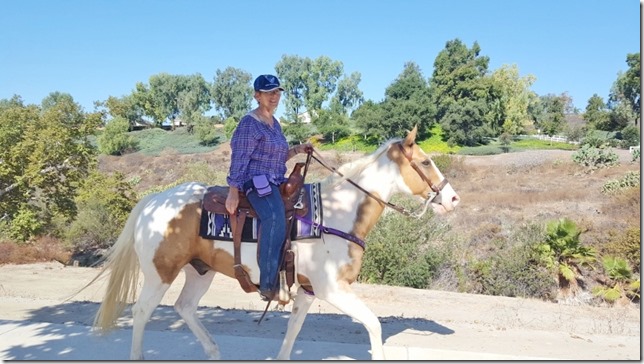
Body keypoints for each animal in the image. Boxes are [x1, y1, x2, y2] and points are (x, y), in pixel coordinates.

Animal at [87, 126, 458, 360]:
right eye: (425, 162)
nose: (453, 198)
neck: (337, 213)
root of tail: (153, 201)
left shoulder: (308, 291)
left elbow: (293, 331)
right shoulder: (333, 289)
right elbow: (373, 323)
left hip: (200, 271)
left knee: (185, 307)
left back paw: (213, 351)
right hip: (160, 273)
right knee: (142, 311)